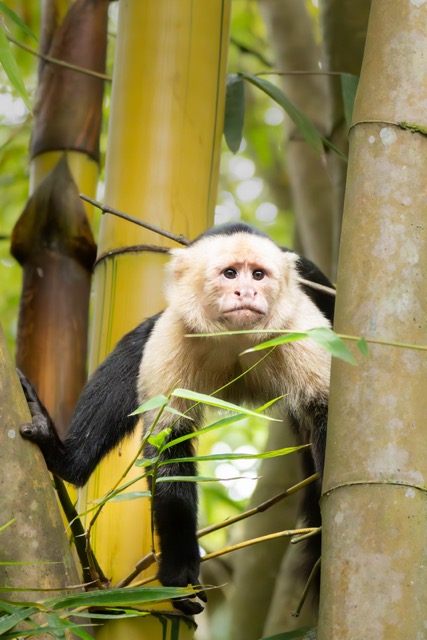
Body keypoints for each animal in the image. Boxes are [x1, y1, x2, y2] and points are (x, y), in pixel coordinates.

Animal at [19, 221, 334, 616]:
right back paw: (66, 460)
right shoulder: (175, 335)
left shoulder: (301, 329)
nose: (245, 290)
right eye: (230, 273)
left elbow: (330, 414)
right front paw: (180, 574)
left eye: (259, 275)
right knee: (135, 346)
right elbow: (169, 444)